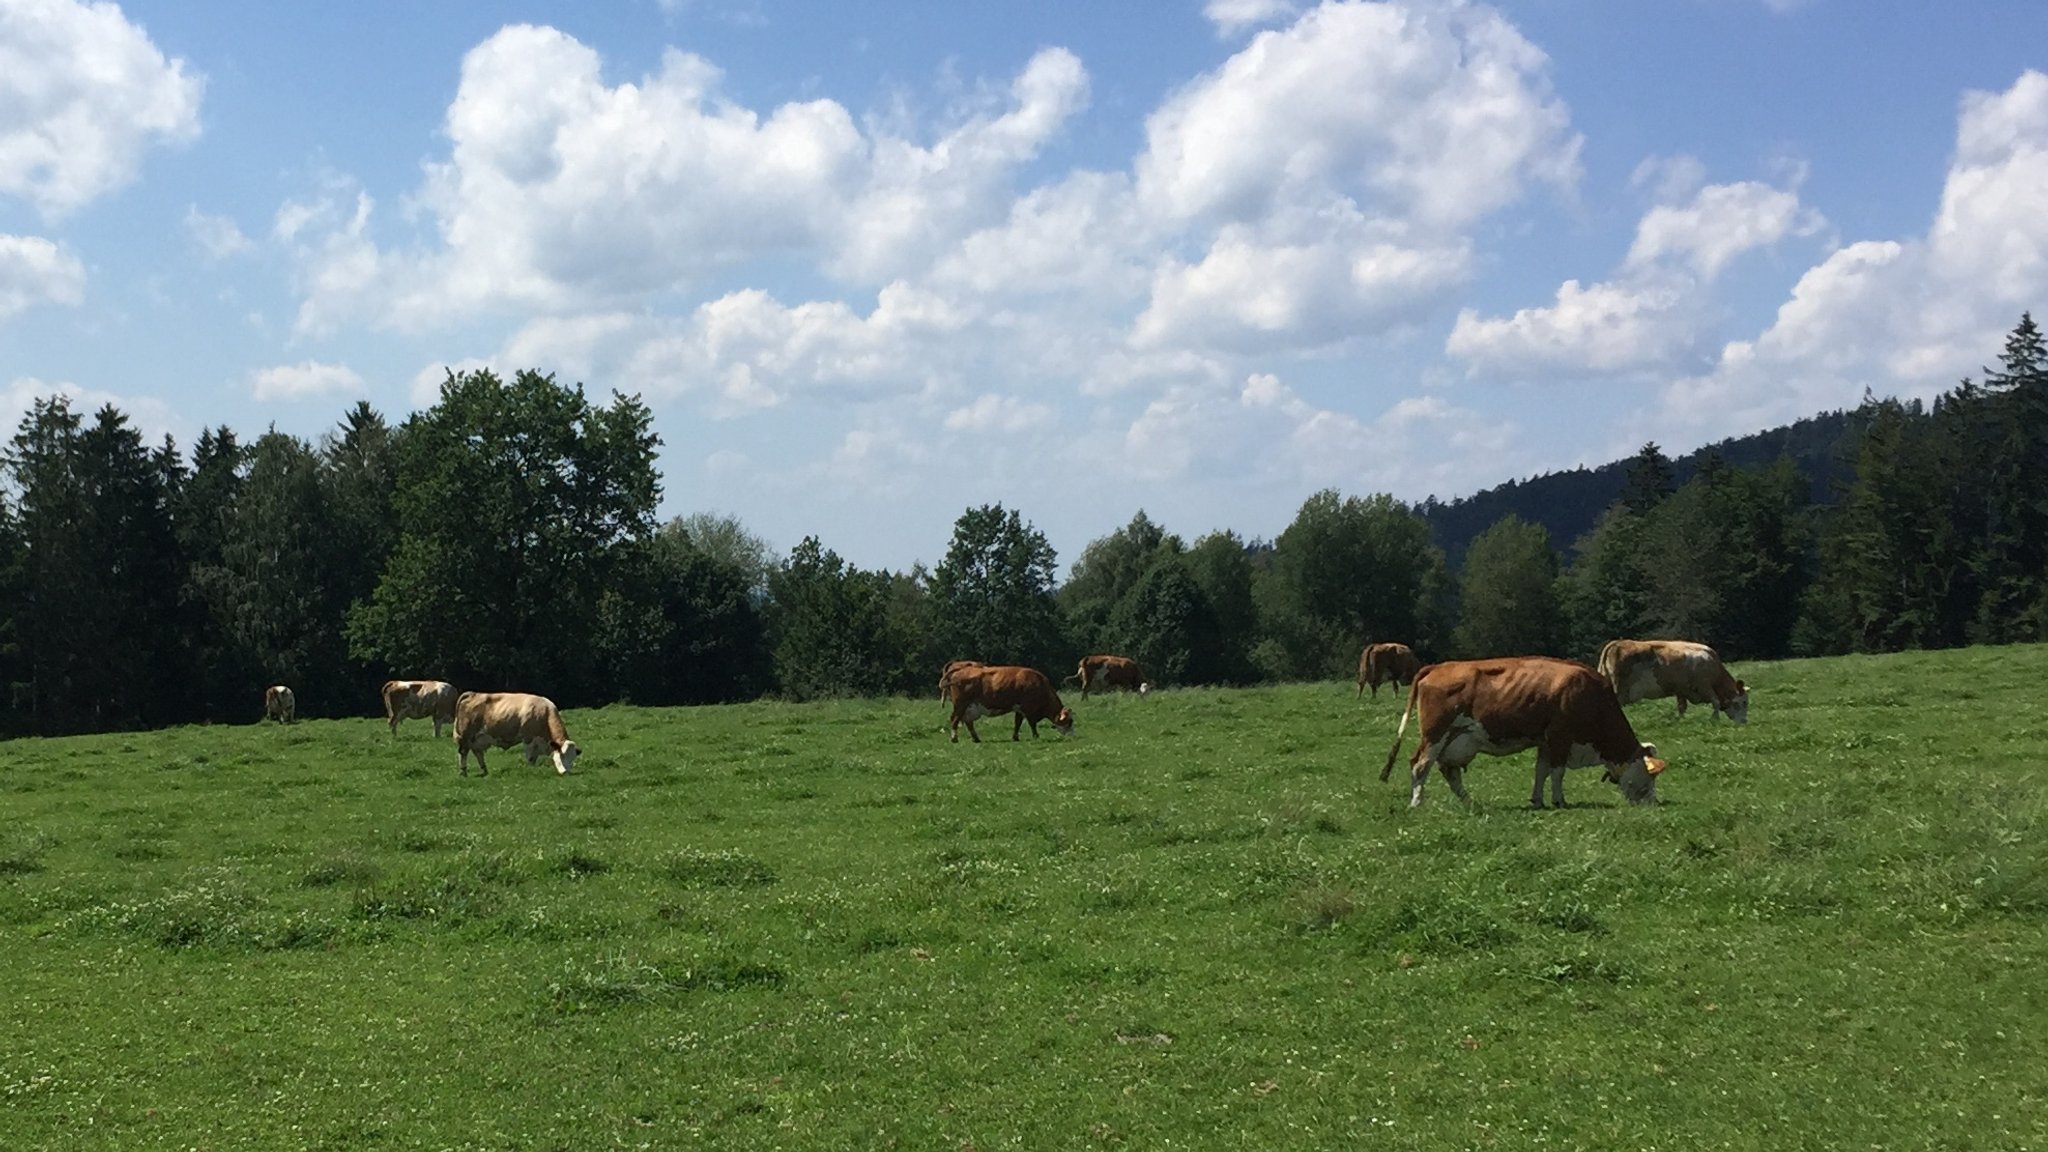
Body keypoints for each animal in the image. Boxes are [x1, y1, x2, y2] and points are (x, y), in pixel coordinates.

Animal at [448, 684, 577, 774]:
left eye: (572, 758)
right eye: (561, 756)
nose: (566, 772)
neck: (543, 712)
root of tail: (472, 694)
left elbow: (534, 757)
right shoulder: (528, 738)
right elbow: (530, 757)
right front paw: (531, 770)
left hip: (476, 739)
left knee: (477, 752)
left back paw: (484, 770)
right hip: (466, 737)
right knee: (463, 753)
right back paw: (463, 772)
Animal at [942, 664, 1073, 746]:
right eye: (1070, 721)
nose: (1073, 735)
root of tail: (960, 669)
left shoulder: (1019, 709)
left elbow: (1017, 723)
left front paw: (1015, 737)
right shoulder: (1028, 709)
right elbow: (1032, 724)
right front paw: (1036, 736)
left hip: (969, 708)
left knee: (968, 723)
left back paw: (976, 738)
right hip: (960, 705)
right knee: (954, 720)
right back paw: (954, 738)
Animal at [1384, 655, 1671, 807]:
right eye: (1650, 777)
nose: (1653, 803)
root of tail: (1438, 667)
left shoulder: (1545, 741)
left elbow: (1540, 771)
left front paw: (1537, 800)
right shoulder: (1560, 737)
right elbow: (1557, 773)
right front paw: (1560, 801)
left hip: (1456, 739)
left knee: (1449, 771)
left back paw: (1469, 801)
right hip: (1435, 734)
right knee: (1420, 764)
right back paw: (1417, 802)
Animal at [1589, 631, 1753, 721]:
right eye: (1743, 702)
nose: (1744, 721)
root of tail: (1617, 643)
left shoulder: (1681, 690)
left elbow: (1682, 707)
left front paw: (1680, 721)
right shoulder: (1704, 685)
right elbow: (1716, 702)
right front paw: (1715, 719)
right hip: (1619, 689)